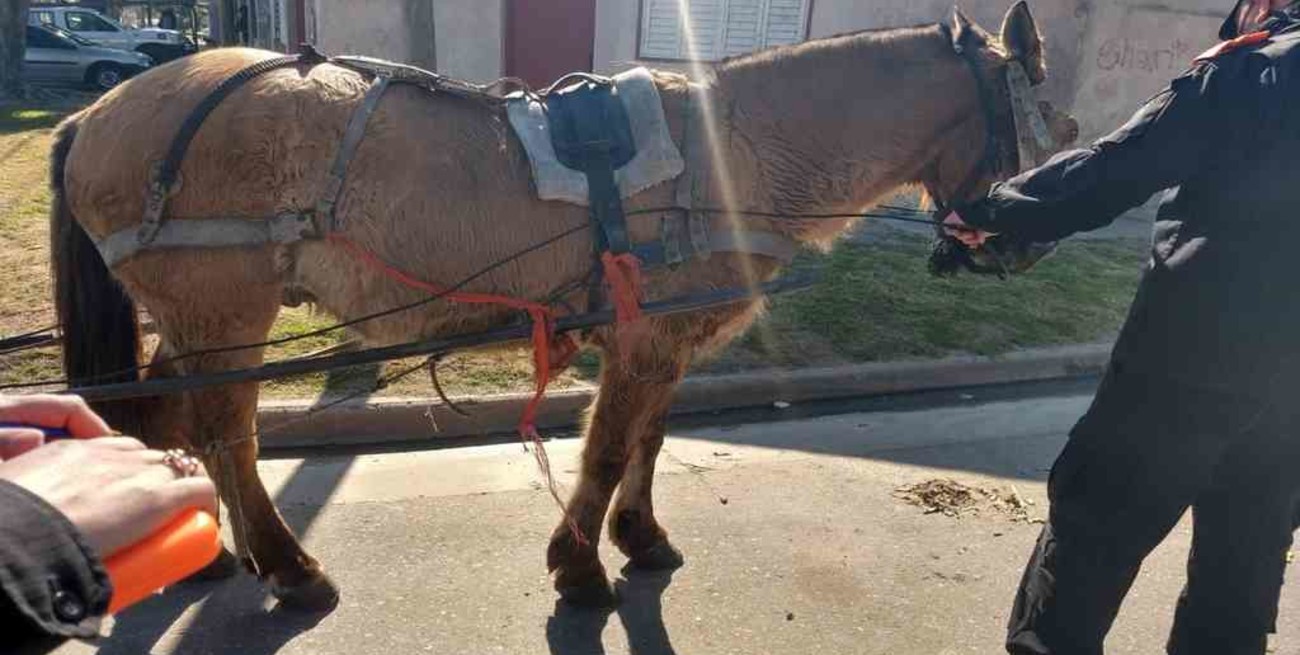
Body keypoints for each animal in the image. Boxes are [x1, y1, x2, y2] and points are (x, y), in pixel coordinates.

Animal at [49, 3, 1076, 610]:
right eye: (1048, 118)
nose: (1022, 245)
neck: (734, 149)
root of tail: (97, 115)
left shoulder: (662, 338)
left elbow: (650, 439)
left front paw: (639, 535)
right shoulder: (646, 336)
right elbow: (612, 446)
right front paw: (580, 565)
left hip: (198, 320)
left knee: (175, 418)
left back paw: (215, 550)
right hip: (226, 314)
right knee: (227, 433)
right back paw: (287, 564)